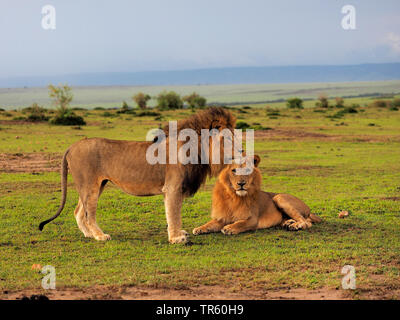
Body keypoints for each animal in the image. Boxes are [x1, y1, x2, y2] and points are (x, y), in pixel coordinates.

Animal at [39, 106, 236, 244]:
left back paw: (89, 235)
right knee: (88, 214)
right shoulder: (173, 187)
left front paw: (178, 234)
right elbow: (174, 213)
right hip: (89, 185)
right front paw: (176, 239)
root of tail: (72, 146)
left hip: (95, 184)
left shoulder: (173, 189)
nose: (240, 151)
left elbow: (172, 213)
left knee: (79, 211)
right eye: (228, 139)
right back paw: (100, 236)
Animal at [192, 155, 320, 235]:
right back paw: (288, 223)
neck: (234, 197)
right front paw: (199, 229)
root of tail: (308, 209)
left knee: (306, 222)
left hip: (279, 197)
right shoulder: (223, 217)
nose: (241, 183)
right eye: (234, 170)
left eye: (247, 170)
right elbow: (210, 223)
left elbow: (241, 223)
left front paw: (229, 228)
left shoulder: (252, 219)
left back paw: (294, 226)